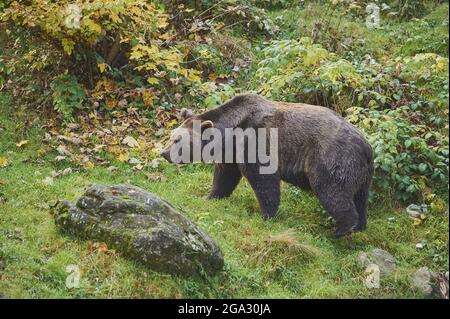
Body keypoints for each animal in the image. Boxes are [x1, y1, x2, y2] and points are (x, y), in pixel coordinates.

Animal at [160, 94, 374, 239]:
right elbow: (225, 176)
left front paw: (266, 215)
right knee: (360, 197)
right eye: (172, 136)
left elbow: (263, 180)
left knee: (332, 190)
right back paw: (360, 225)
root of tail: (367, 147)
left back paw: (340, 230)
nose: (164, 153)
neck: (231, 131)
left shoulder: (256, 141)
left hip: (332, 158)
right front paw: (210, 196)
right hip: (361, 173)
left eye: (177, 140)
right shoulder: (232, 151)